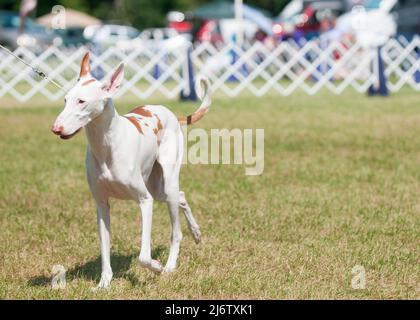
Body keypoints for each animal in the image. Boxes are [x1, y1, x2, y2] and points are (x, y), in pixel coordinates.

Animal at [52, 53, 212, 290]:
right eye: (65, 100)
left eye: (81, 101)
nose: (56, 128)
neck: (107, 145)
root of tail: (170, 113)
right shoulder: (102, 205)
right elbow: (105, 252)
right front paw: (104, 283)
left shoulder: (145, 201)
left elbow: (143, 256)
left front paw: (155, 267)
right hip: (158, 187)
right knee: (182, 196)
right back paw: (197, 232)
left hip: (166, 184)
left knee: (176, 232)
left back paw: (169, 265)